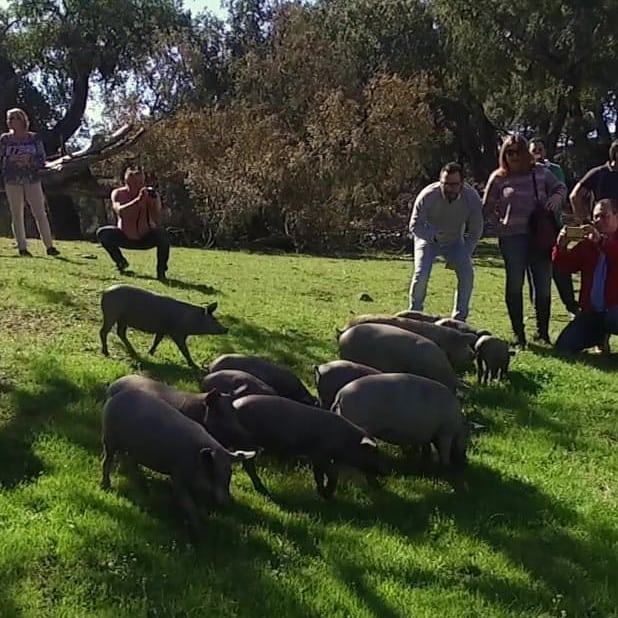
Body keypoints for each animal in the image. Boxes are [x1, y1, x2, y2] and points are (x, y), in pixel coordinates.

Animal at [101, 390, 255, 536]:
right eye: (212, 473)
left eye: (229, 474)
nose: (226, 504)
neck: (196, 459)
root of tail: (115, 396)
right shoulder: (178, 474)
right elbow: (188, 503)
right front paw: (199, 531)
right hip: (109, 437)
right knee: (107, 460)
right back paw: (106, 486)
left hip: (126, 445)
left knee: (128, 460)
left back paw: (142, 487)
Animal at [231, 394, 384, 496]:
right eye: (373, 452)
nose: (384, 471)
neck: (346, 441)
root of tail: (234, 405)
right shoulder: (320, 455)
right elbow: (331, 473)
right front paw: (327, 495)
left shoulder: (320, 457)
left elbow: (321, 474)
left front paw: (322, 492)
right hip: (247, 441)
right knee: (248, 465)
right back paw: (263, 490)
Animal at [332, 370, 466, 466]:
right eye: (467, 441)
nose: (464, 463)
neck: (458, 429)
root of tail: (340, 395)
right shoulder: (445, 432)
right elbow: (444, 451)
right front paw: (446, 466)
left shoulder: (426, 434)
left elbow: (425, 446)